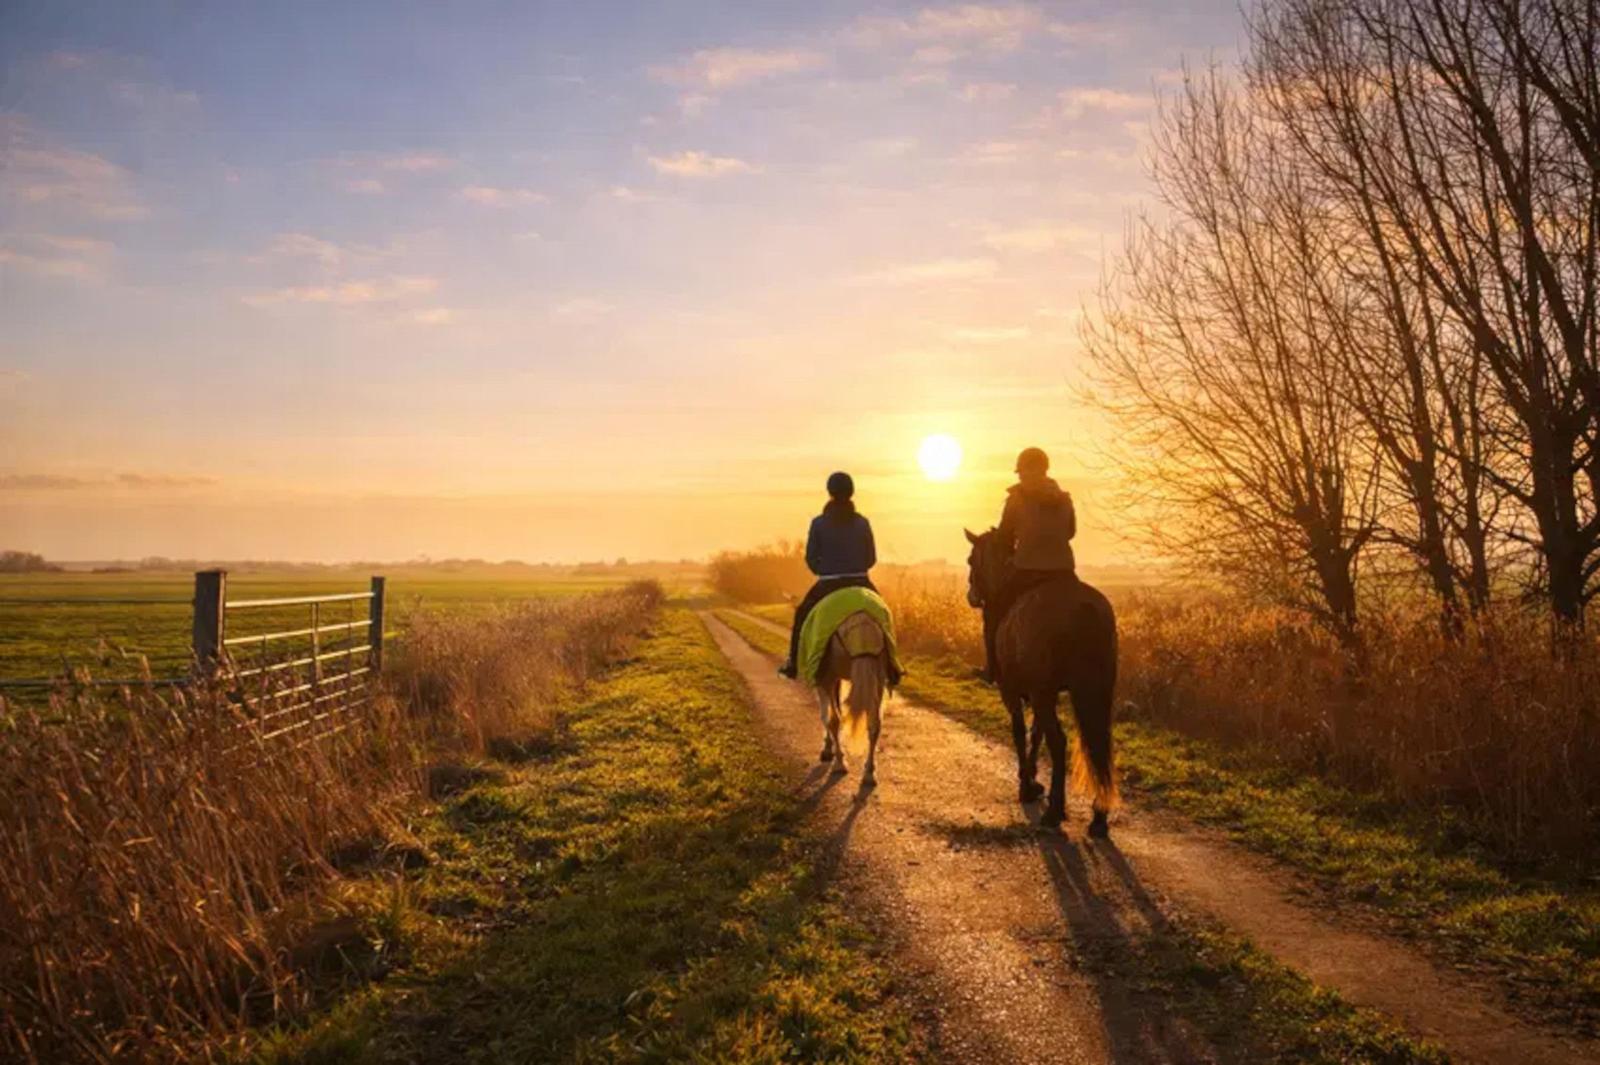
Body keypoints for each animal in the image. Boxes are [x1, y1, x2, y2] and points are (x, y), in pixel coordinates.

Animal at [812, 611, 889, 790]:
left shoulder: (824, 679)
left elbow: (827, 716)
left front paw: (827, 750)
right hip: (878, 679)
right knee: (874, 724)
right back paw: (869, 774)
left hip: (828, 677)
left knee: (833, 719)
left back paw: (839, 764)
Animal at [964, 528, 1119, 835]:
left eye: (970, 560)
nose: (971, 596)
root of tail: (1083, 607)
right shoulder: (1043, 694)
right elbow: (1036, 733)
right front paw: (1033, 779)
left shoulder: (1014, 691)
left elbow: (1020, 732)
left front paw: (1026, 784)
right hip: (1095, 691)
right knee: (1099, 745)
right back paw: (1098, 817)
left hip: (1044, 693)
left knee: (1059, 742)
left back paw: (1055, 811)